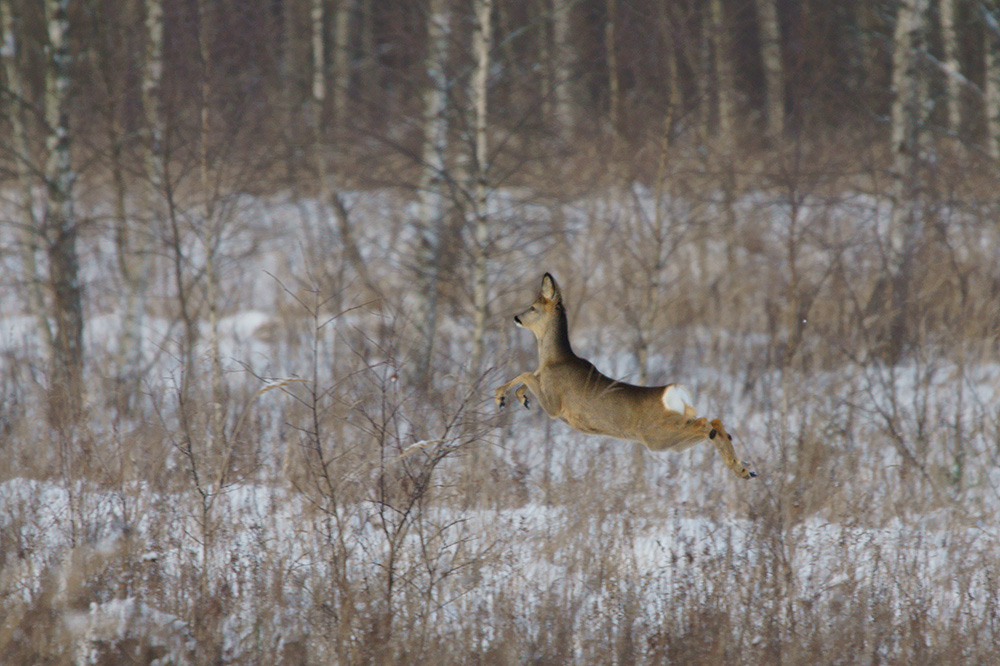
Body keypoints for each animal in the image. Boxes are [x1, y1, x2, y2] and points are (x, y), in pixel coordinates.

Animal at [496, 272, 752, 478]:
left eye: (532, 307)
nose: (516, 317)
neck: (554, 360)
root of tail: (676, 393)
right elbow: (529, 375)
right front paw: (520, 398)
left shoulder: (554, 404)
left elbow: (526, 373)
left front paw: (501, 396)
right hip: (669, 441)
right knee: (715, 423)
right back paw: (744, 468)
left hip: (658, 434)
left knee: (706, 423)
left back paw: (740, 466)